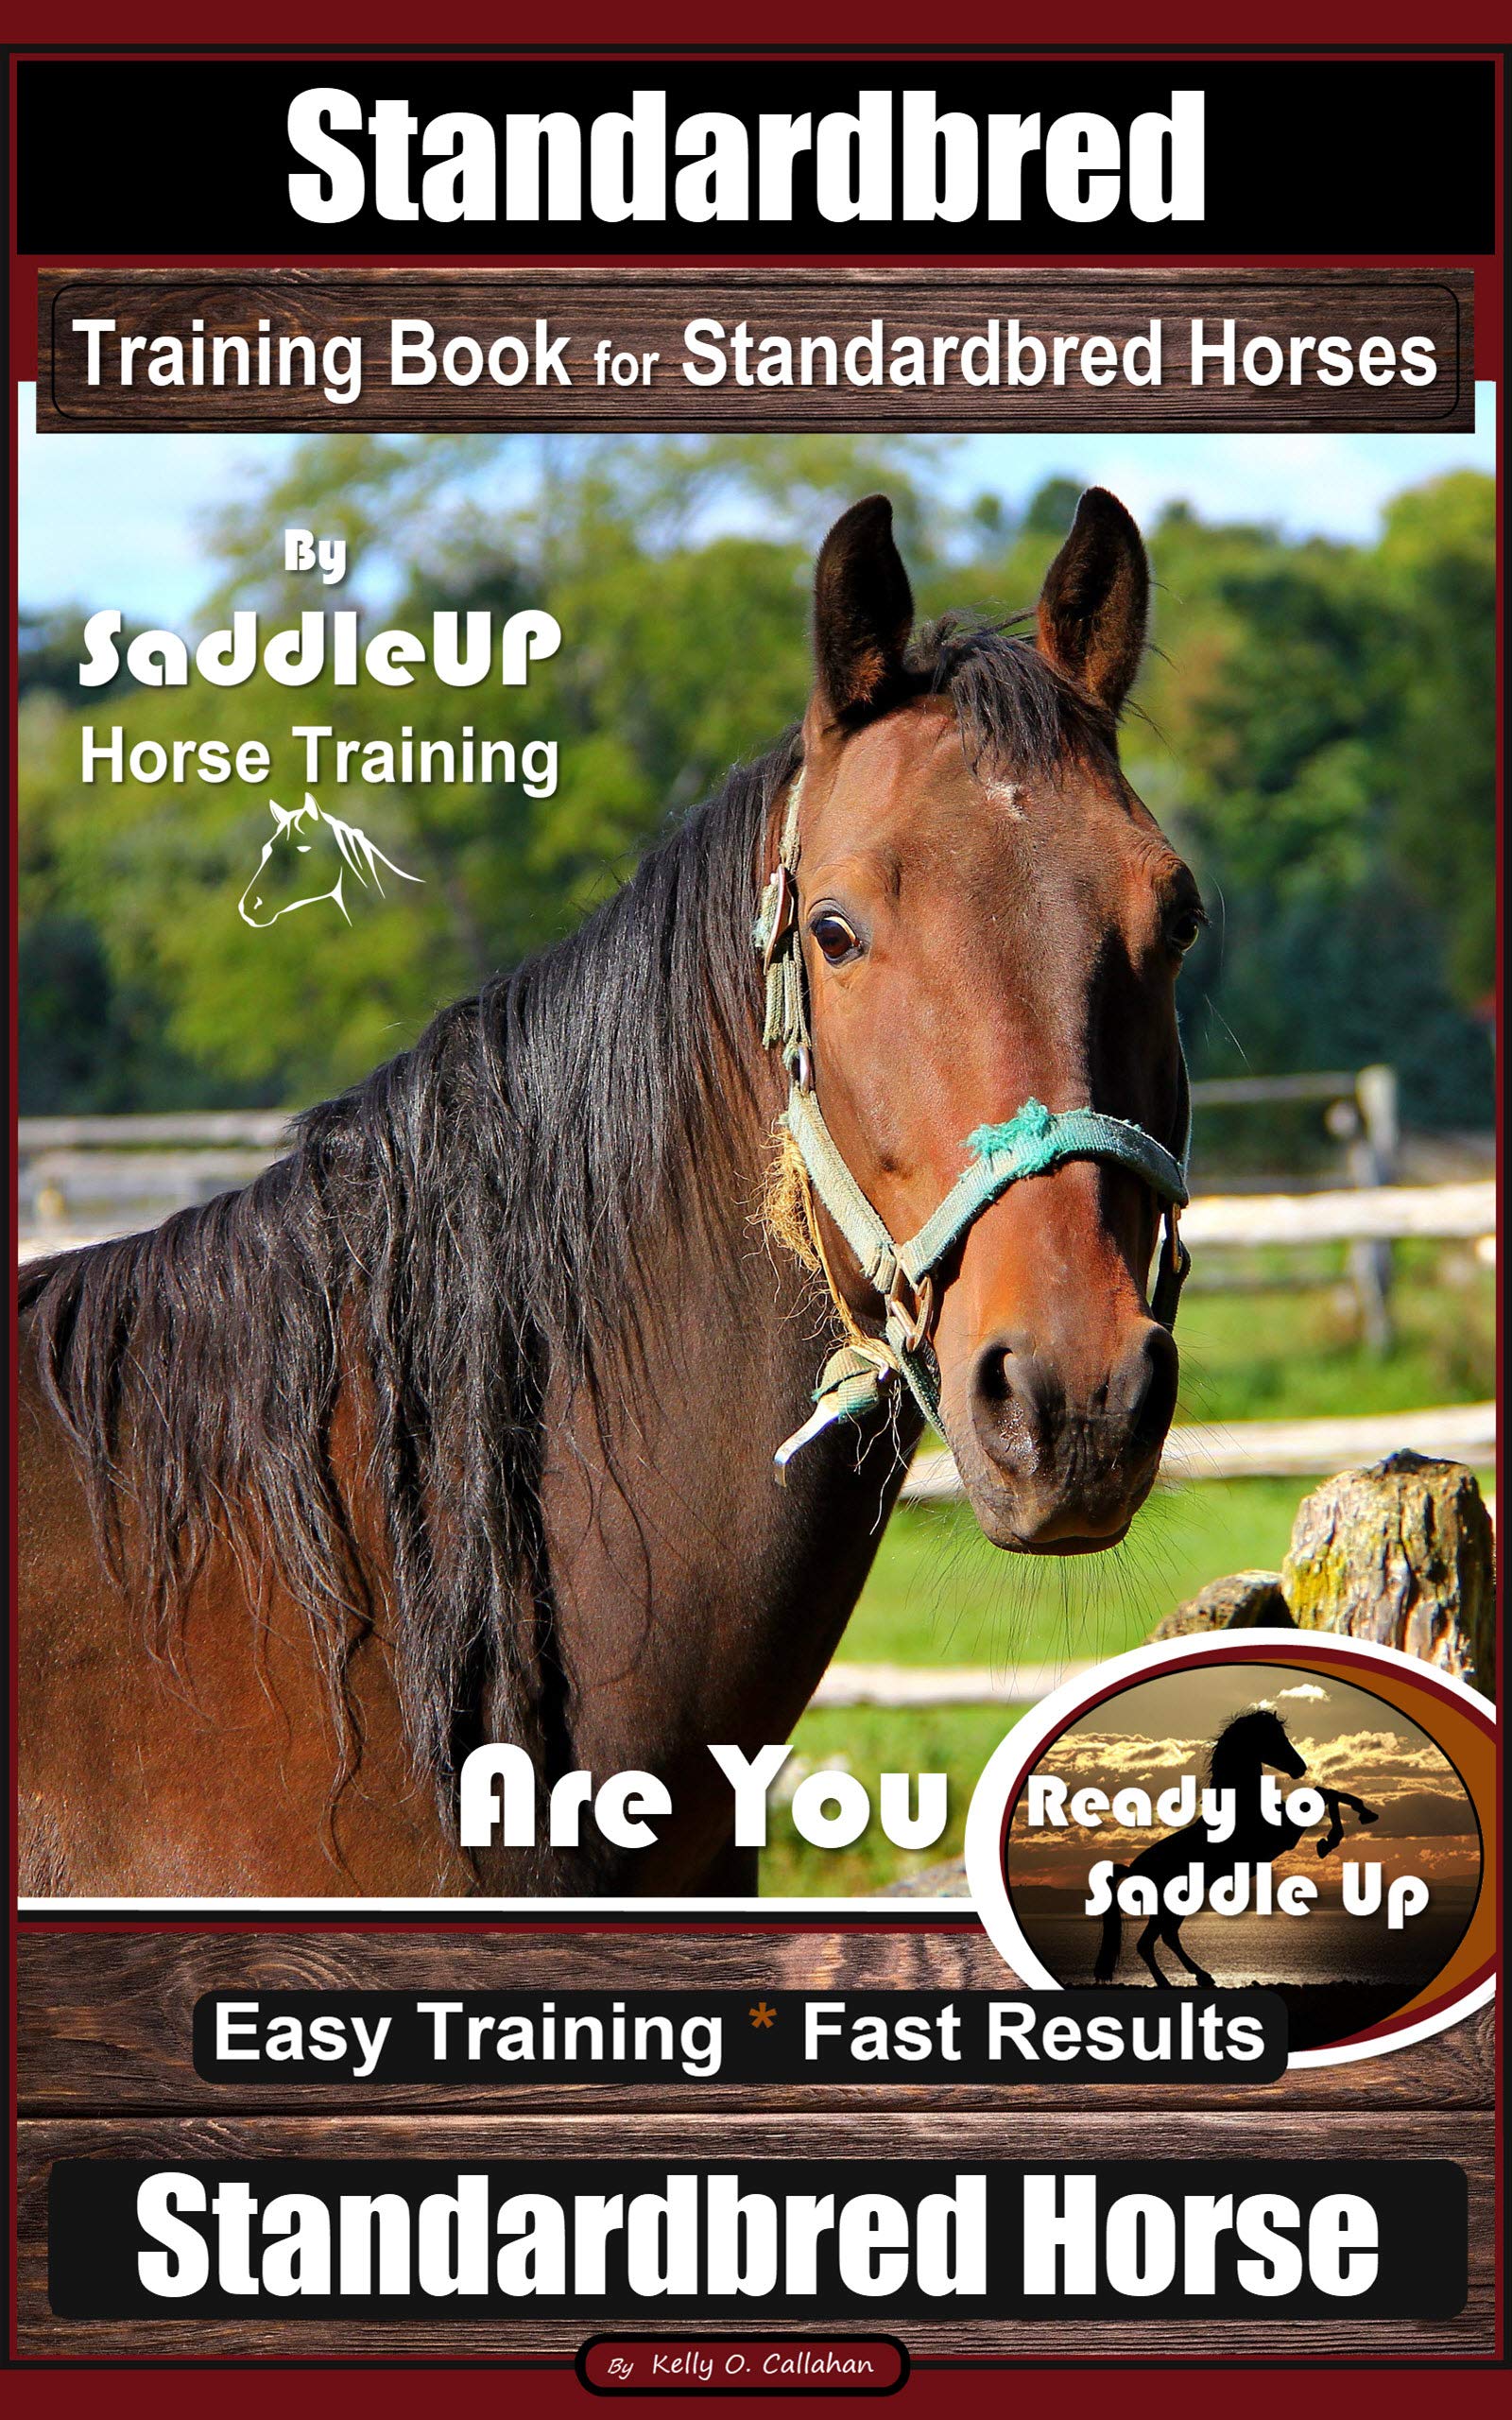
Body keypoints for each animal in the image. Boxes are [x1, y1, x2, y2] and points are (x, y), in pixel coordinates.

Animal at [1091, 1707, 1381, 1987]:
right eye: (1274, 1737)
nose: (1300, 1767)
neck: (1243, 1804)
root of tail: (1132, 1870)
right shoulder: (1285, 1834)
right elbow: (1322, 1795)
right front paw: (1330, 1839)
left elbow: (1328, 1793)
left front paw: (1364, 1814)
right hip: (1167, 1905)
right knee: (1149, 1943)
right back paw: (1171, 1982)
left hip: (1178, 1901)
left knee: (1168, 1937)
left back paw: (1203, 1976)